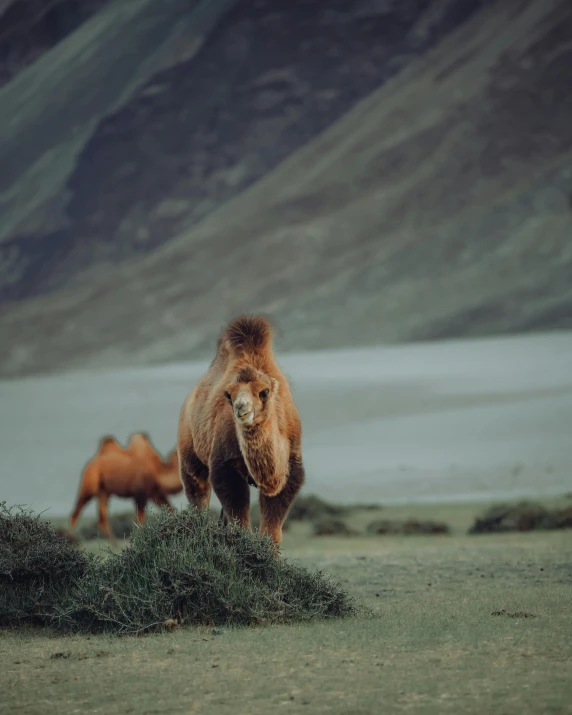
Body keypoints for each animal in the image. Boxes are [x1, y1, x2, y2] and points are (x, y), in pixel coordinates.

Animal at [179, 316, 306, 544]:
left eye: (264, 392)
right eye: (229, 395)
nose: (241, 408)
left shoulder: (291, 467)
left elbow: (272, 526)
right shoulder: (225, 464)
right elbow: (238, 514)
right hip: (189, 454)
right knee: (197, 493)